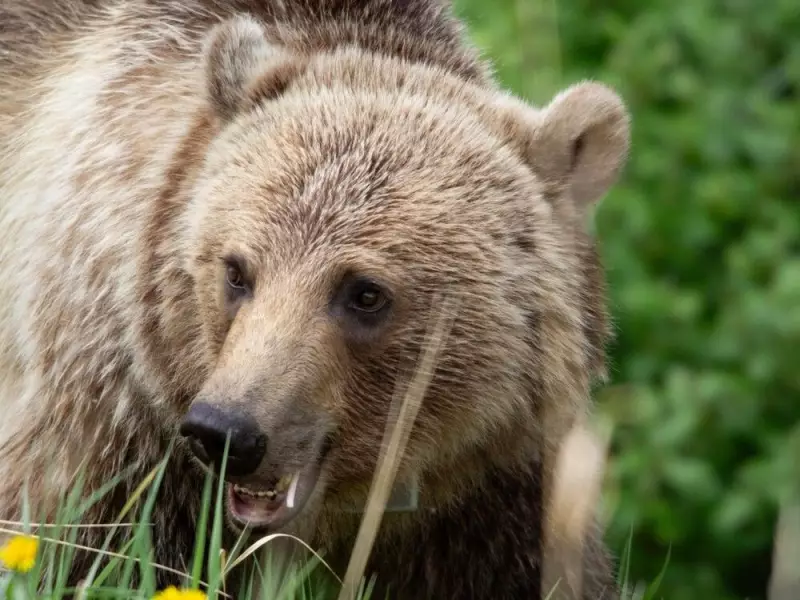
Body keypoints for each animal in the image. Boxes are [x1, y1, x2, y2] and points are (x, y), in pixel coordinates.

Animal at [0, 0, 631, 598]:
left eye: (365, 293)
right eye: (236, 271)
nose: (226, 431)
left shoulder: (497, 475)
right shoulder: (122, 420)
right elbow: (81, 546)